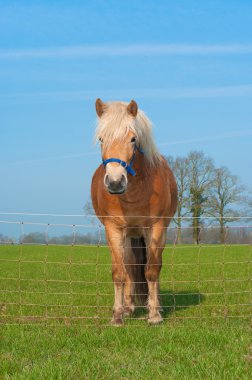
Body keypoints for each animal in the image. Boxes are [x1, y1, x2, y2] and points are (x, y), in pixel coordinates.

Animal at [91, 99, 177, 326]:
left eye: (133, 139)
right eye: (101, 139)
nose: (115, 182)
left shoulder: (155, 228)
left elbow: (152, 270)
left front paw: (154, 315)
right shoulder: (113, 229)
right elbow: (120, 273)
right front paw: (118, 315)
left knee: (154, 265)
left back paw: (157, 306)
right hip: (129, 236)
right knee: (130, 267)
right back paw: (129, 306)